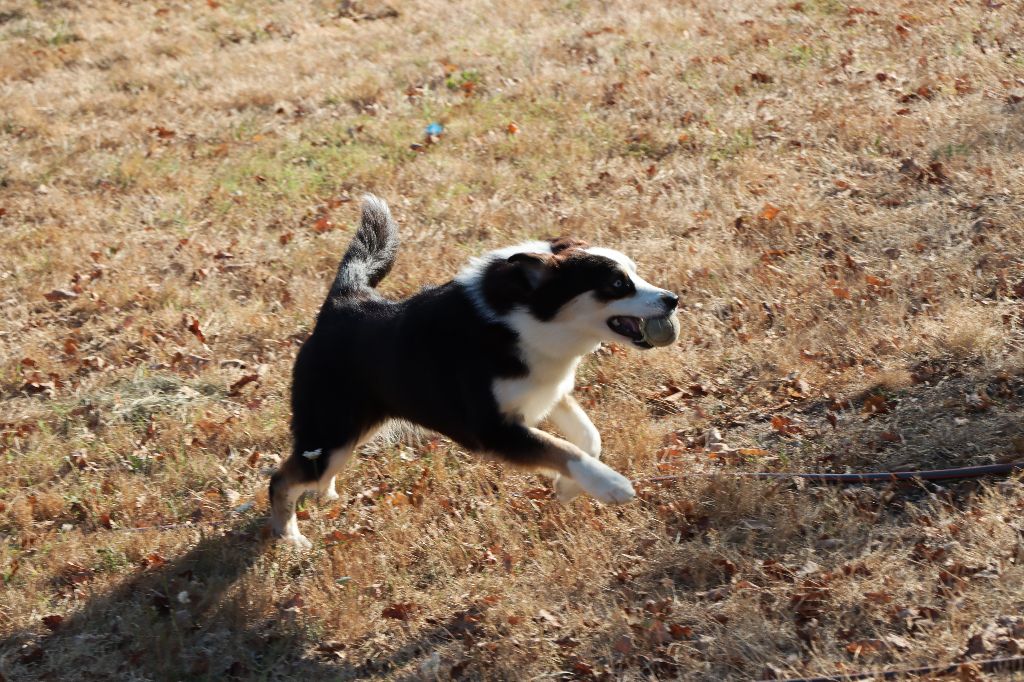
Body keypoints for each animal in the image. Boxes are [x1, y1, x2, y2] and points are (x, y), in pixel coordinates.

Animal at [270, 195, 679, 548]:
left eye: (634, 274)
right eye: (617, 284)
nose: (673, 299)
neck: (521, 322)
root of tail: (343, 301)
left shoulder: (550, 390)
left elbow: (588, 440)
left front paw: (569, 488)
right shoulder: (493, 430)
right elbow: (562, 448)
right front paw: (611, 485)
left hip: (347, 433)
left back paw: (325, 496)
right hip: (331, 434)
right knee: (280, 479)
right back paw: (290, 538)